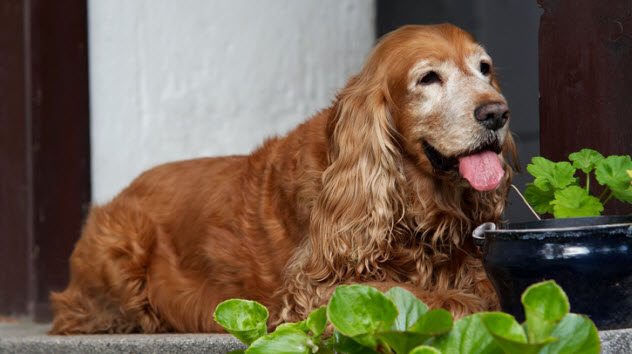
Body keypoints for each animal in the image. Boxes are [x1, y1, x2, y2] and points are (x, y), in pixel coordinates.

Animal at [50, 23, 512, 334]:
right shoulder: (315, 292)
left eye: (485, 68)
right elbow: (421, 296)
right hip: (122, 248)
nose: (497, 113)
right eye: (428, 78)